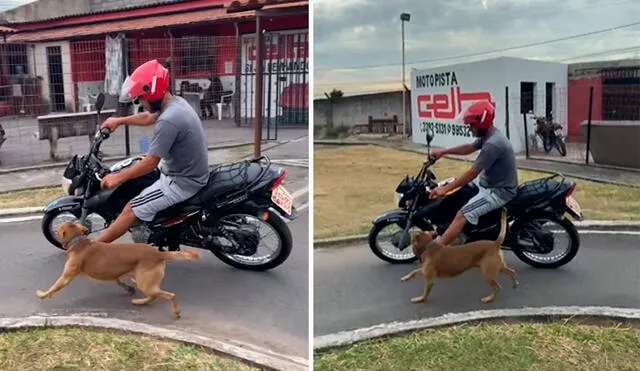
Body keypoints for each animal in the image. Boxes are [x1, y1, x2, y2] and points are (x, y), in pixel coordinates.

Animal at [36, 222, 201, 318]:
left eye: (58, 230)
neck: (79, 242)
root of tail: (158, 254)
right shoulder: (114, 273)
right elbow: (119, 281)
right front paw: (128, 289)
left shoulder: (66, 276)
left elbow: (54, 287)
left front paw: (42, 294)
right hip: (143, 280)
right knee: (154, 295)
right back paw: (139, 301)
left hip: (145, 283)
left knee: (168, 295)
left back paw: (175, 311)